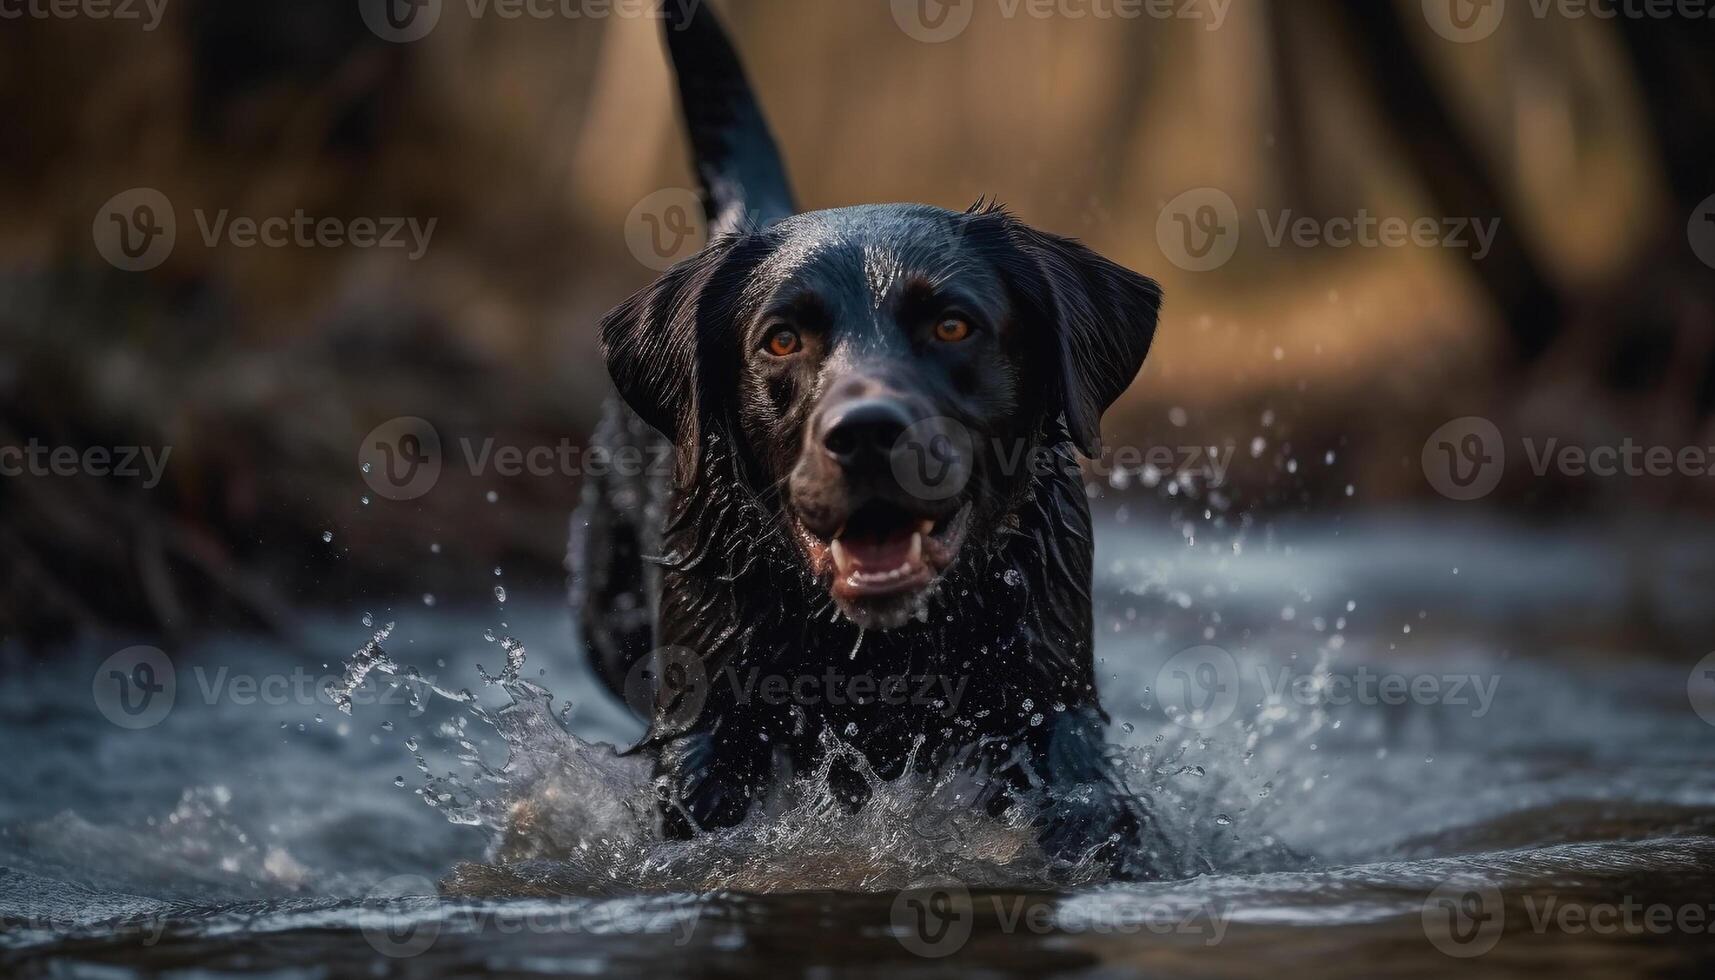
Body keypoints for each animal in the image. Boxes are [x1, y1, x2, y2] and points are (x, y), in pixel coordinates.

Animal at [576, 0, 1166, 875]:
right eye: (781, 340)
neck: (881, 655)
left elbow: (1081, 800)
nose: (864, 434)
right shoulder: (704, 725)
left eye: (952, 325)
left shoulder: (1047, 693)